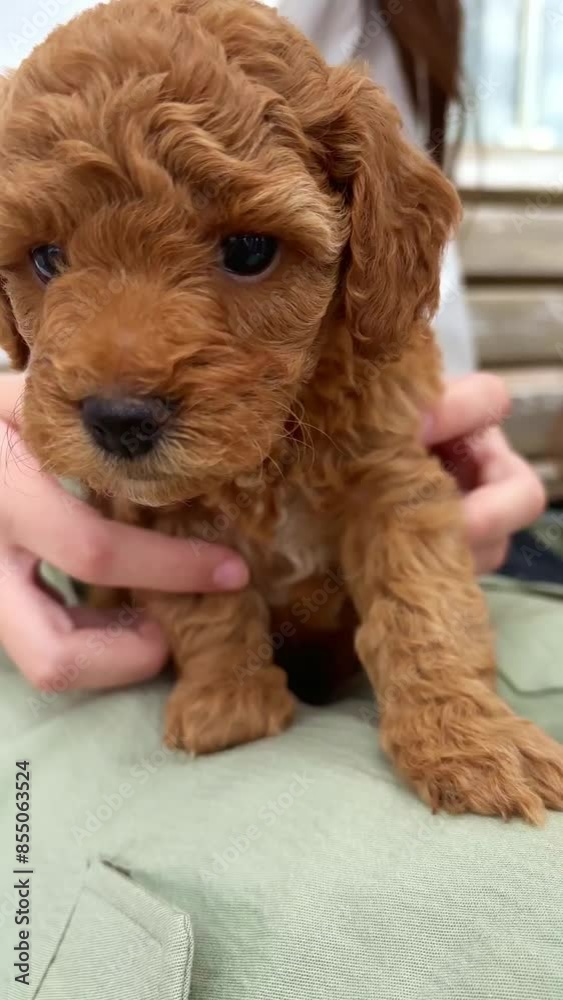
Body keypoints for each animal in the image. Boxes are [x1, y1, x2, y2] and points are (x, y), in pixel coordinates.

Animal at [1, 0, 562, 822]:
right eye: (46, 259)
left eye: (248, 251)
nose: (118, 419)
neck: (274, 447)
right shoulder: (162, 519)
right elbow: (204, 605)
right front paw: (228, 704)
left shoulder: (395, 481)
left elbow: (423, 602)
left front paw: (469, 739)